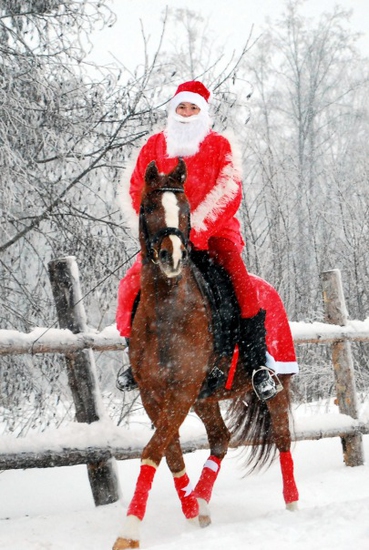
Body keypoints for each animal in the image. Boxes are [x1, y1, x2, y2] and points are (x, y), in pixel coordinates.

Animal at [111, 160, 296, 550]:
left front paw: (129, 532)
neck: (167, 310)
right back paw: (202, 501)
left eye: (185, 210)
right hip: (206, 399)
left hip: (277, 387)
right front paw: (192, 510)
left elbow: (153, 450)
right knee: (221, 439)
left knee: (283, 438)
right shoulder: (153, 395)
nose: (172, 256)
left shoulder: (181, 392)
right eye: (148, 207)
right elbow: (169, 452)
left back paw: (292, 504)